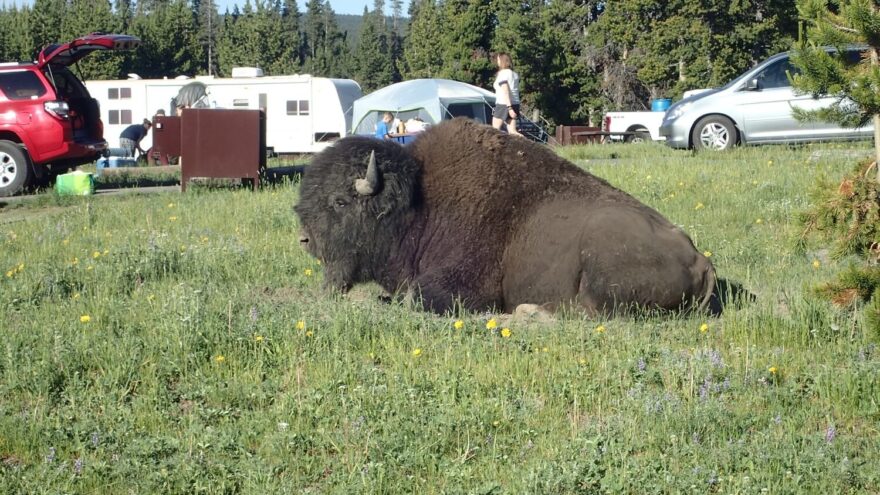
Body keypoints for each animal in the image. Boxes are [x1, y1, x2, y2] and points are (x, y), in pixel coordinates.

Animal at [296, 118, 716, 316]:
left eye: (339, 202)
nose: (305, 240)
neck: (420, 204)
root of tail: (701, 260)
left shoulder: (463, 288)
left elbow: (416, 297)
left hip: (600, 269)